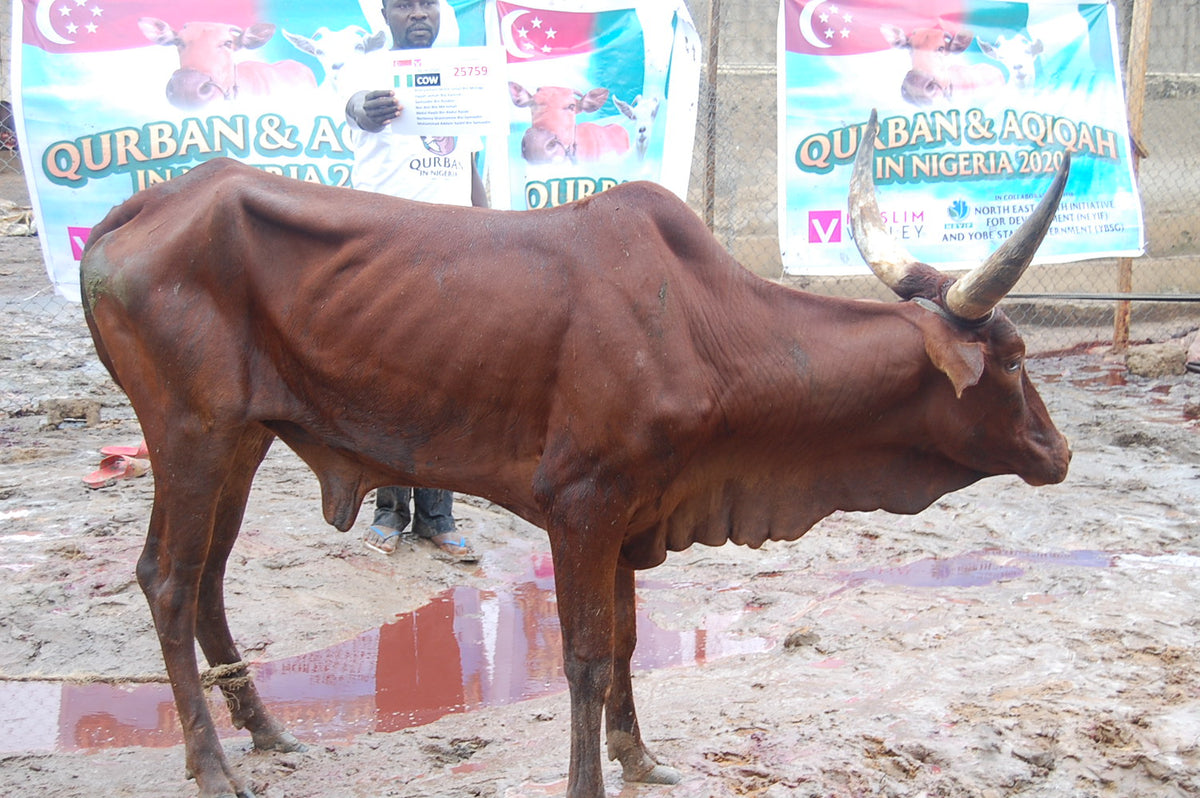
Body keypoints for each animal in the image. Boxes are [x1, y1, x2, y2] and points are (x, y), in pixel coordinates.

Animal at [79, 111, 1070, 798]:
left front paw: (641, 756)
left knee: (207, 580)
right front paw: (591, 777)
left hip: (242, 440)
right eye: (1017, 358)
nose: (1059, 453)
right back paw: (213, 765)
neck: (703, 328)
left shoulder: (636, 512)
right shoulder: (581, 506)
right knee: (167, 579)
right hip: (190, 431)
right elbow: (588, 658)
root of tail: (151, 201)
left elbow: (627, 641)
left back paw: (265, 732)